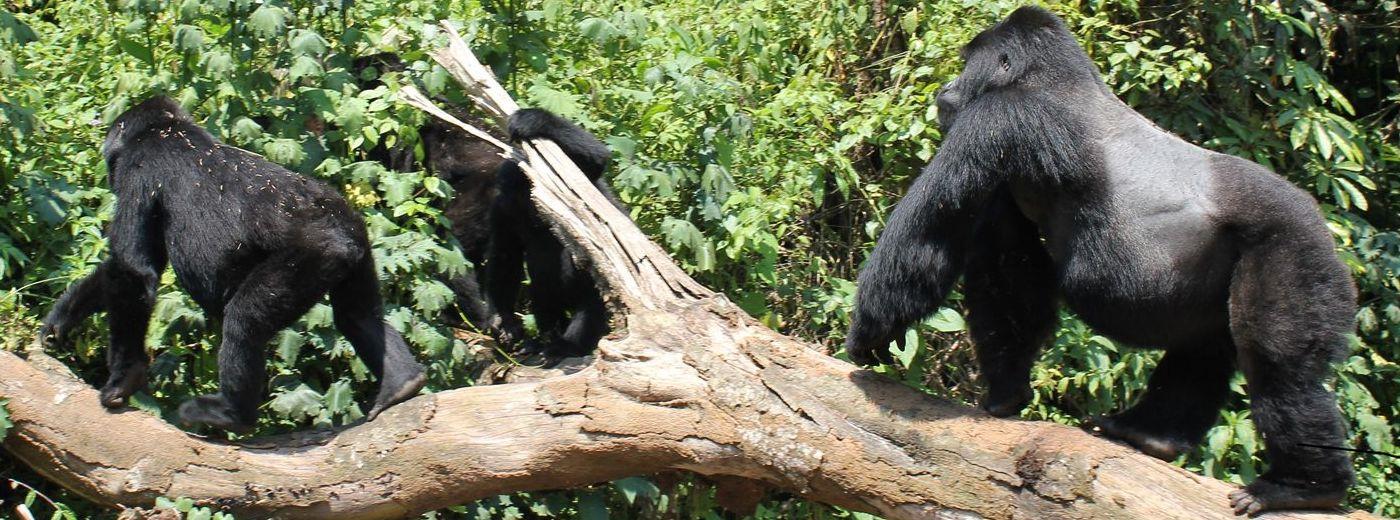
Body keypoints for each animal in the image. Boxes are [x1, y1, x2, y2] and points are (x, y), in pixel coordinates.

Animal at [42, 96, 425, 434]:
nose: (106, 168)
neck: (168, 128)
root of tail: (340, 227)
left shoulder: (137, 170)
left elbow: (133, 271)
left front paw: (124, 378)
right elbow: (124, 270)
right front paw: (61, 320)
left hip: (317, 252)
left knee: (245, 318)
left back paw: (231, 414)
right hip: (356, 240)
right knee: (356, 315)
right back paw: (402, 383)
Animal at [840, 8, 1355, 518]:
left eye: (967, 65)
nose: (946, 87)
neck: (1054, 77)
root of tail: (1321, 224)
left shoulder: (998, 120)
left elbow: (927, 239)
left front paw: (871, 334)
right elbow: (1008, 276)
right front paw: (1007, 391)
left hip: (1293, 246)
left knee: (1273, 357)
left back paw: (1305, 486)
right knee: (1208, 340)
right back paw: (1155, 435)